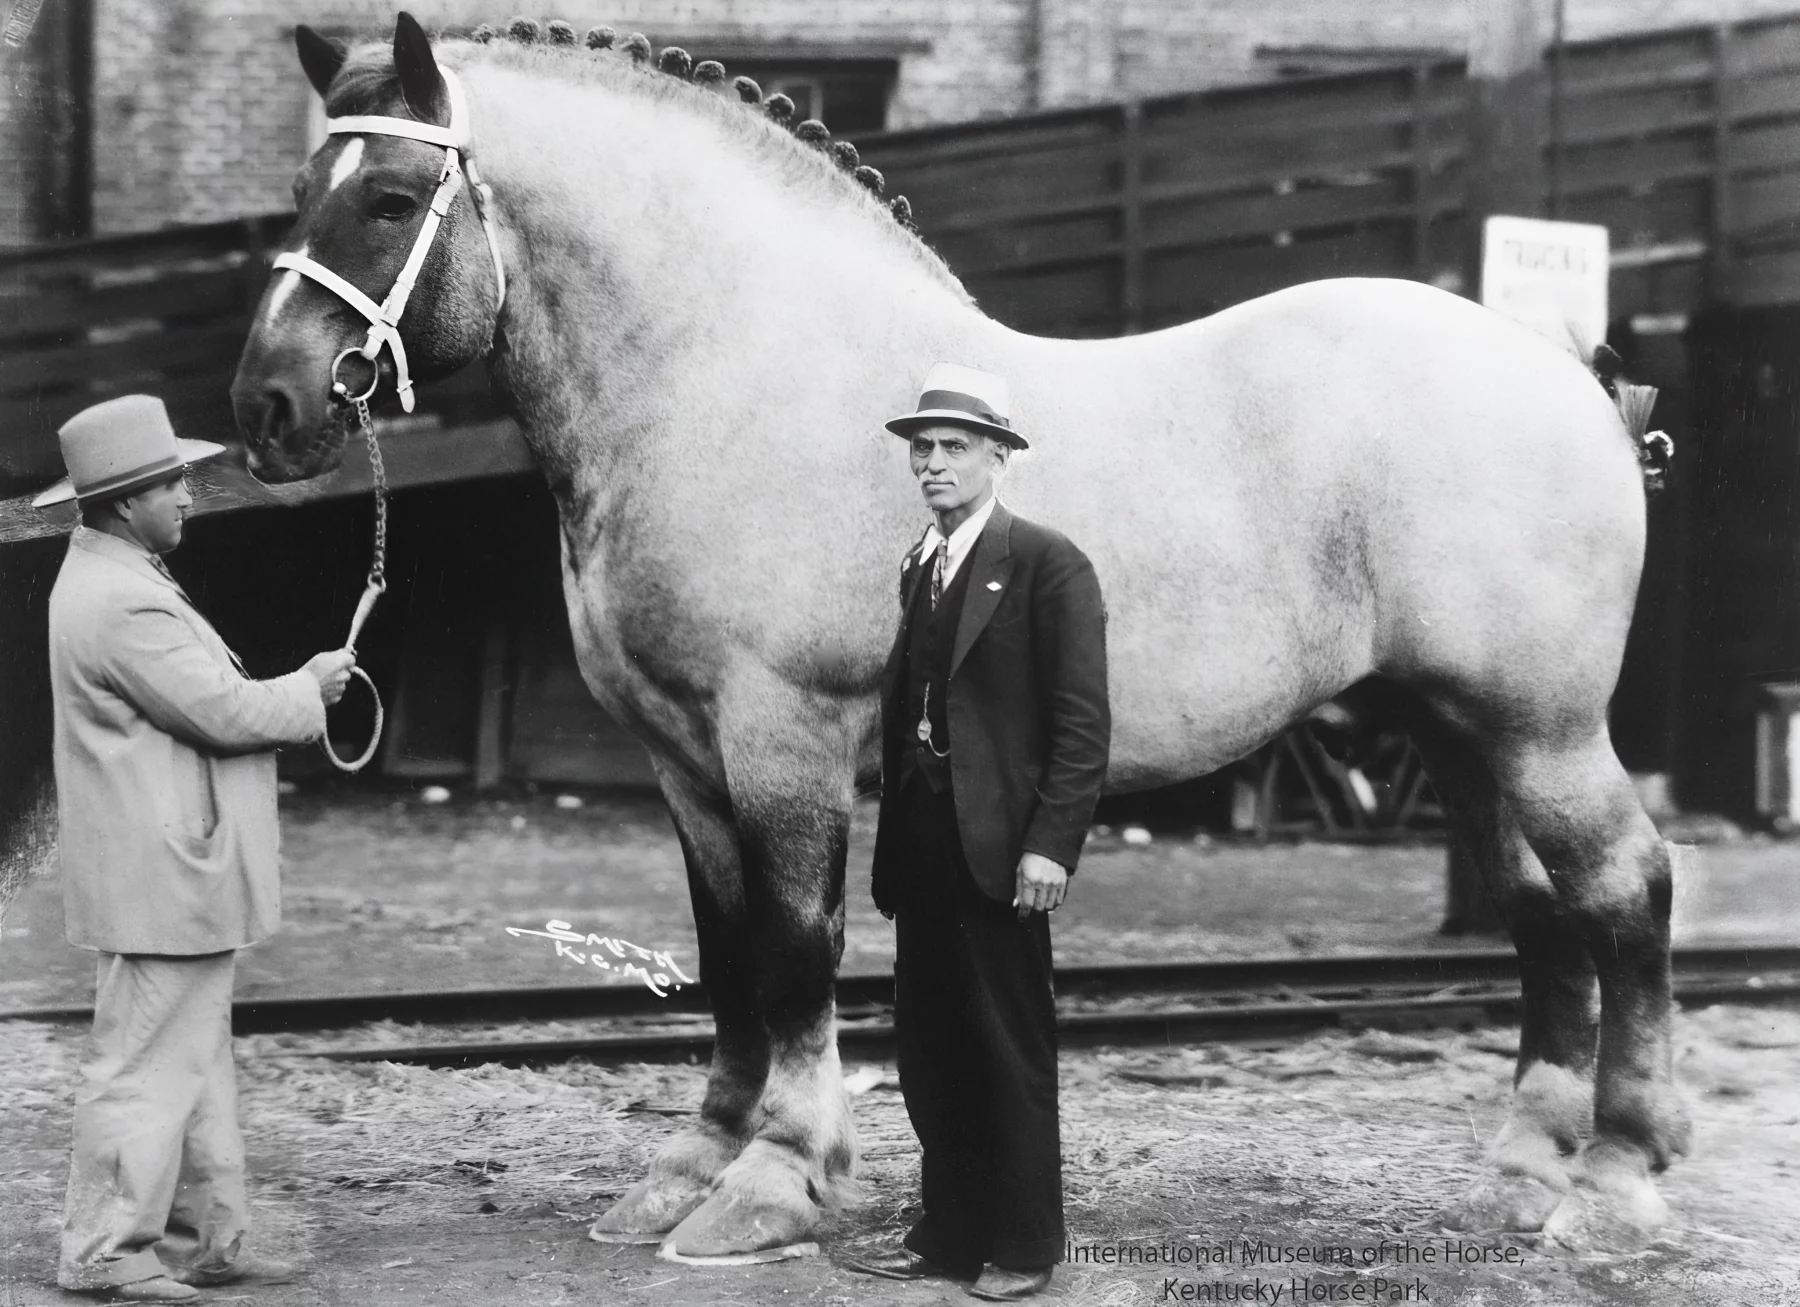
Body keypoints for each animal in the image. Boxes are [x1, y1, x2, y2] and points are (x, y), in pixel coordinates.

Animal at [228, 7, 1684, 1260]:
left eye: (390, 199)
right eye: (302, 188)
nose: (269, 407)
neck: (733, 370)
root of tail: (1572, 374)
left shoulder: (783, 740)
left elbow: (794, 951)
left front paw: (775, 1180)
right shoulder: (684, 760)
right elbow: (724, 953)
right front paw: (693, 1164)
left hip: (1541, 728)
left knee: (1624, 890)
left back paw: (1617, 1180)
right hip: (1460, 729)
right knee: (1539, 909)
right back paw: (1525, 1168)